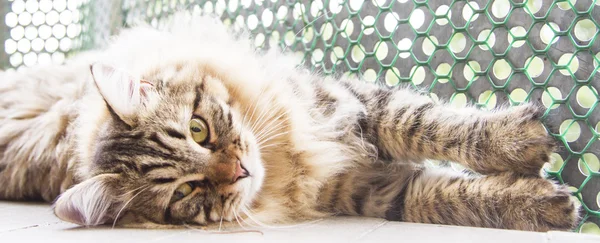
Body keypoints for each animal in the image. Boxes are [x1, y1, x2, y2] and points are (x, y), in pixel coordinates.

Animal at [0, 14, 580, 231]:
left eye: (198, 129)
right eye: (185, 191)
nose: (239, 171)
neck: (285, 165)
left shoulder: (346, 104)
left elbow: (429, 124)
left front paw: (517, 140)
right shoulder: (368, 192)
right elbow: (445, 197)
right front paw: (539, 204)